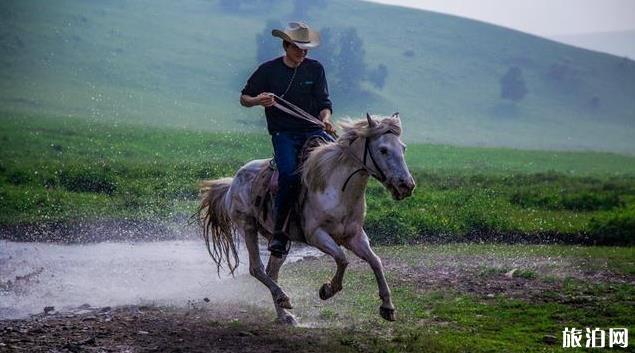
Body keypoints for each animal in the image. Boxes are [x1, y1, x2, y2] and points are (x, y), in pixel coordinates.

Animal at [200, 113, 418, 324]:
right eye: (383, 150)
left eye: (403, 148)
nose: (406, 185)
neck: (338, 188)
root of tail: (233, 182)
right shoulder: (316, 235)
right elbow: (342, 258)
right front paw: (328, 290)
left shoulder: (353, 236)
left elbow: (375, 261)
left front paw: (388, 307)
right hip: (248, 228)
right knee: (256, 269)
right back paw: (284, 297)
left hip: (278, 239)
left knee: (272, 271)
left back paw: (284, 314)